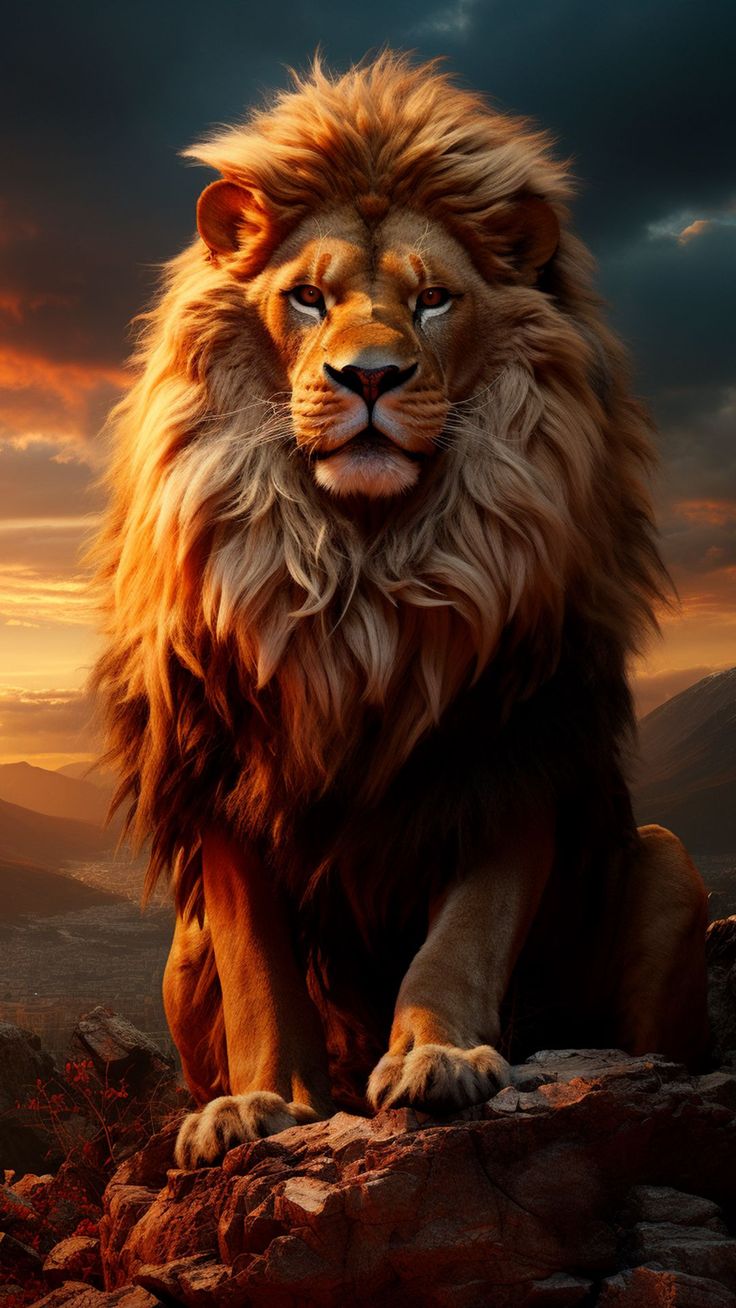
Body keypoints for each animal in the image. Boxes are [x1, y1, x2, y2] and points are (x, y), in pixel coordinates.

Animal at [89, 54, 709, 1169]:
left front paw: (440, 1058)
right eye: (305, 298)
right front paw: (261, 1104)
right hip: (178, 951)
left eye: (431, 301)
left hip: (667, 862)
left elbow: (462, 937)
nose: (368, 377)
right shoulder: (222, 763)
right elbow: (261, 973)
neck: (362, 568)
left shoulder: (511, 743)